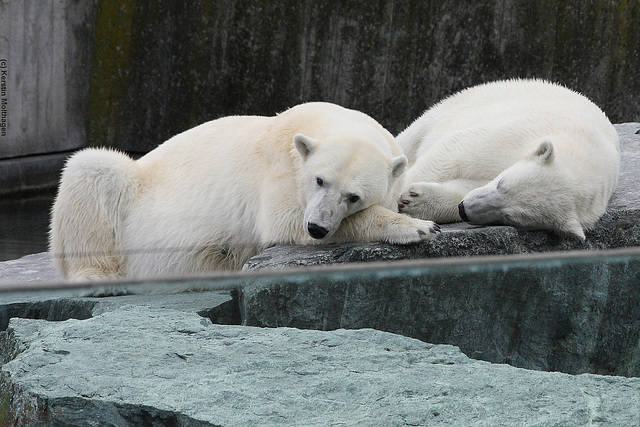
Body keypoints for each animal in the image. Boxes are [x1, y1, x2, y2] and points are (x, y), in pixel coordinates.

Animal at [50, 101, 440, 280]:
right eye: (319, 180)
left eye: (353, 196)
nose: (317, 228)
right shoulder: (280, 168)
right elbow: (282, 221)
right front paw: (417, 227)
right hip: (130, 189)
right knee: (92, 168)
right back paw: (98, 274)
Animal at [396, 79, 620, 241]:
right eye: (501, 183)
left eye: (510, 217)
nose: (464, 209)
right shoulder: (519, 135)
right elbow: (454, 151)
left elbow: (466, 185)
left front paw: (413, 200)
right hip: (469, 101)